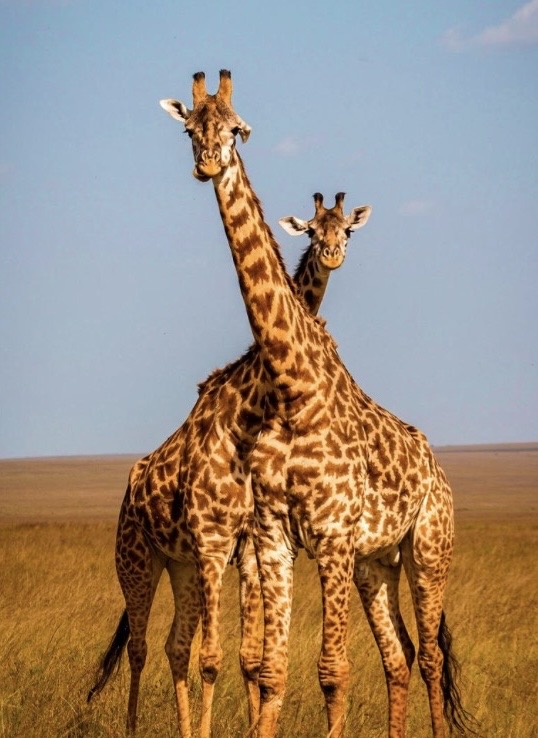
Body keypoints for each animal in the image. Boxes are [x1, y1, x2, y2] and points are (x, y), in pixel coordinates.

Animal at [87, 191, 372, 738]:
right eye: (311, 231)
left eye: (346, 230)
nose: (330, 254)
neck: (255, 401)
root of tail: (132, 483)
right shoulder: (221, 546)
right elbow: (218, 657)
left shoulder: (246, 551)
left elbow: (250, 657)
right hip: (137, 557)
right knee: (141, 647)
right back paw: (134, 726)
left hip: (178, 563)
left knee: (175, 645)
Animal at [160, 69, 476, 738]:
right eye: (190, 128)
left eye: (238, 128)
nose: (208, 163)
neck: (291, 388)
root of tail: (437, 468)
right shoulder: (275, 537)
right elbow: (272, 669)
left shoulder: (330, 535)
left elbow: (332, 672)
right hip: (375, 562)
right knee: (400, 655)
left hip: (428, 546)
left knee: (431, 656)